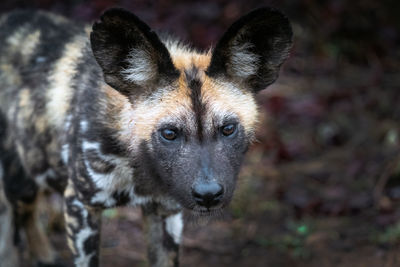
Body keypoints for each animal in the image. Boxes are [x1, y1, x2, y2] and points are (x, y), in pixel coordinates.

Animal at [0, 5, 292, 267]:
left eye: (228, 129)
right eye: (170, 133)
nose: (208, 195)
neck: (140, 166)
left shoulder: (166, 212)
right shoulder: (80, 207)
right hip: (20, 184)